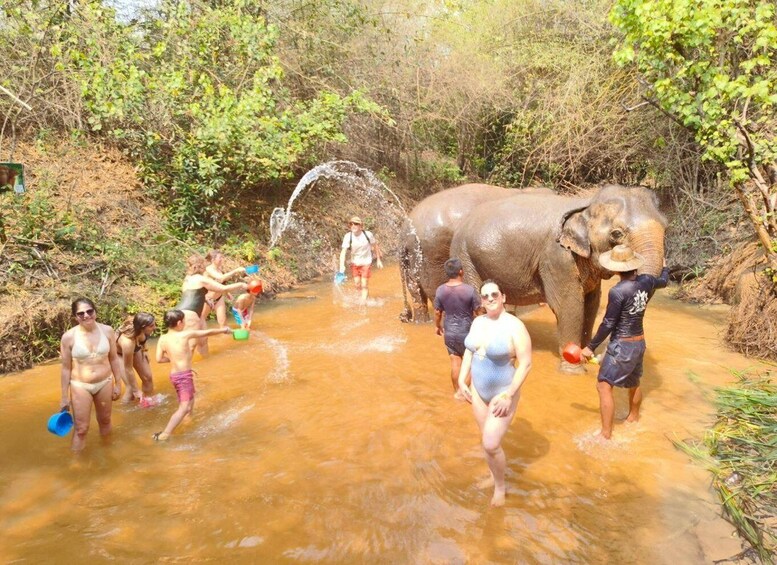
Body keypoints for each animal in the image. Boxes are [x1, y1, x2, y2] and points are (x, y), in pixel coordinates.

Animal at [448, 183, 668, 372]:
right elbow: (569, 303)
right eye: (616, 234)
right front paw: (573, 370)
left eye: (666, 228)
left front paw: (584, 356)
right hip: (464, 258)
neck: (587, 203)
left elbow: (592, 302)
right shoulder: (557, 256)